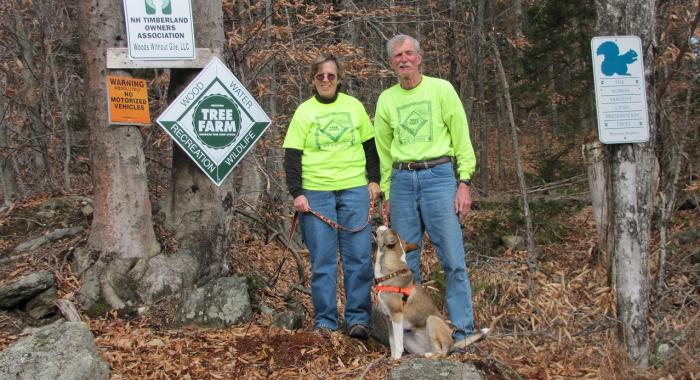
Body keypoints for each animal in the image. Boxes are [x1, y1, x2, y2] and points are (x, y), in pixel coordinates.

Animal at [374, 226, 490, 360]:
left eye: (385, 230)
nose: (382, 225)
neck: (391, 272)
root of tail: (452, 341)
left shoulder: (397, 315)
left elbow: (397, 343)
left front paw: (396, 359)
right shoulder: (389, 319)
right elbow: (392, 341)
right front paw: (392, 358)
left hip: (432, 320)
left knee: (442, 352)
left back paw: (430, 354)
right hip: (409, 338)